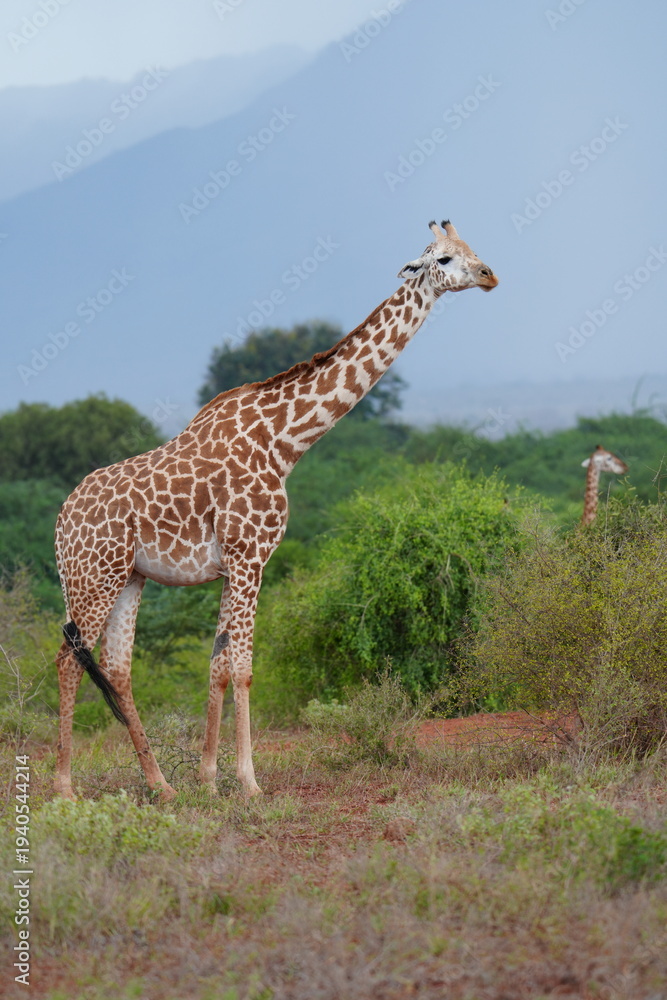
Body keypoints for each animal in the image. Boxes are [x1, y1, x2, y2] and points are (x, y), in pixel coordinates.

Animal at [54, 219, 499, 801]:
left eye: (471, 248)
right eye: (443, 258)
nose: (490, 275)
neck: (285, 441)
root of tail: (60, 522)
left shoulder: (232, 565)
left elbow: (218, 664)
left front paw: (207, 779)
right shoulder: (250, 556)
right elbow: (243, 666)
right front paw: (249, 781)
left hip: (128, 577)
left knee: (116, 668)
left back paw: (161, 786)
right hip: (93, 577)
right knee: (69, 660)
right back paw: (64, 788)